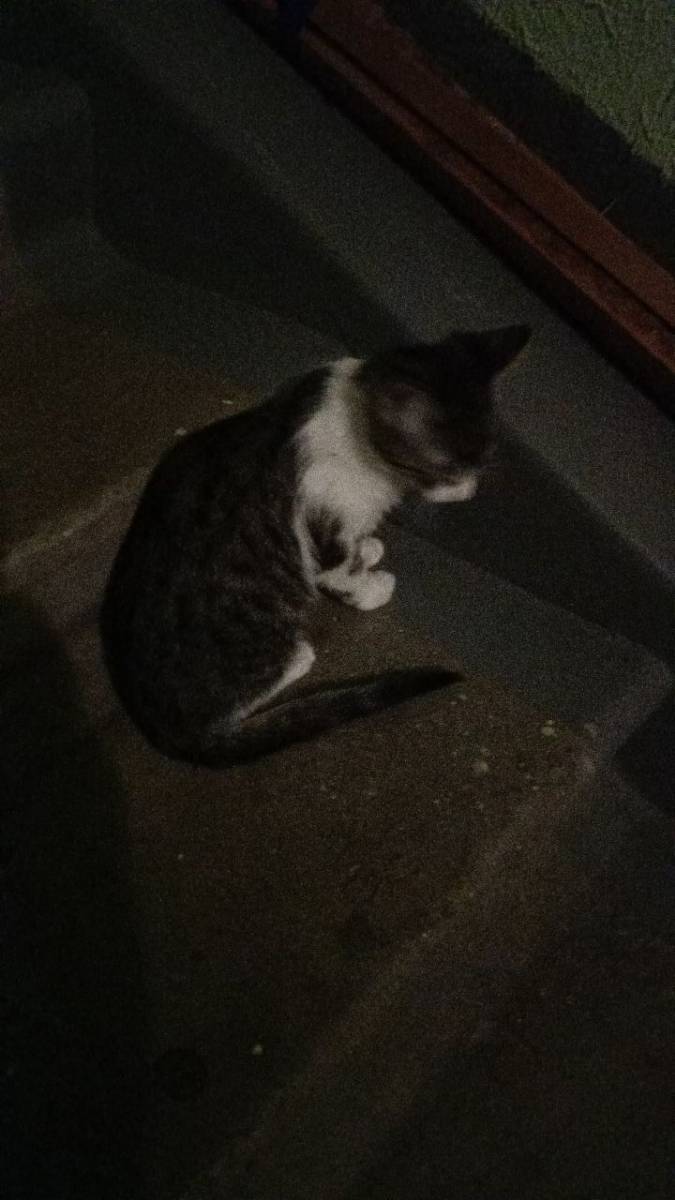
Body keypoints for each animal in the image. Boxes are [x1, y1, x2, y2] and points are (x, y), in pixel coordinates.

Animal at [100, 324, 530, 766]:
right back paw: (297, 657)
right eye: (444, 470)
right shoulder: (325, 517)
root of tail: (165, 727)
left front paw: (368, 547)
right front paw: (370, 587)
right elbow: (340, 571)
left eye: (482, 461)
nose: (468, 492)